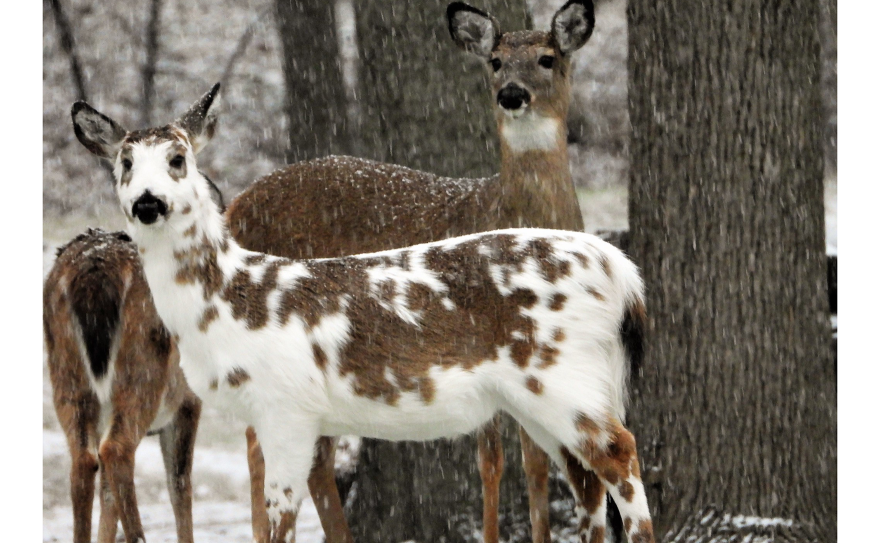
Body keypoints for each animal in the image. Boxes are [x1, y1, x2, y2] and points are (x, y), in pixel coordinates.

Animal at [69, 81, 656, 543]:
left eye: (179, 159)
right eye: (125, 163)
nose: (148, 202)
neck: (231, 300)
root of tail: (622, 271)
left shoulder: (287, 407)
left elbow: (282, 521)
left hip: (560, 374)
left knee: (621, 453)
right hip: (545, 395)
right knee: (587, 480)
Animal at [225, 1, 601, 540]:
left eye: (547, 58)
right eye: (495, 61)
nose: (511, 94)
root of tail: (234, 207)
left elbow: (535, 461)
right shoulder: (472, 336)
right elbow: (491, 460)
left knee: (310, 456)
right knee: (264, 445)